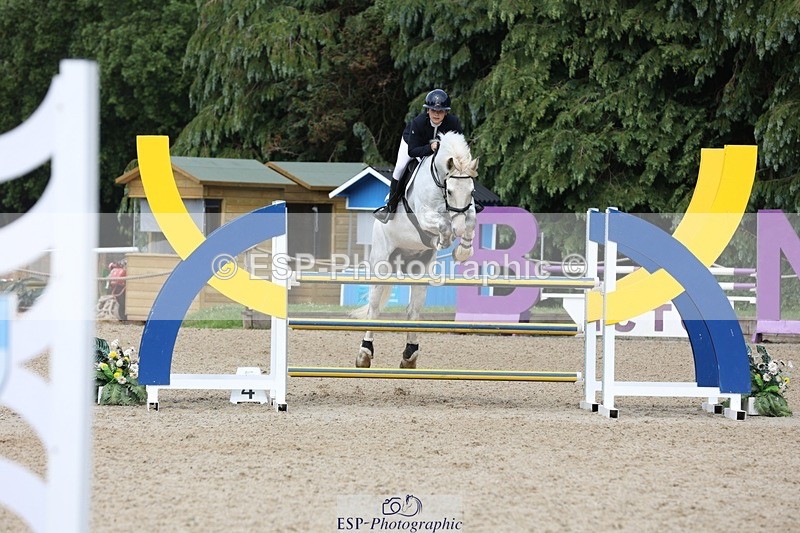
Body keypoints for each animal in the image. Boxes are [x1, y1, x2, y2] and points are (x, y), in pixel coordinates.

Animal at [353, 131, 479, 368]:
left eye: (471, 190)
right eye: (450, 190)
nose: (457, 229)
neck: (438, 181)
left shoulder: (467, 210)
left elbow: (470, 220)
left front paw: (462, 250)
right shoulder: (424, 215)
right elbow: (442, 224)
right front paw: (444, 240)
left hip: (420, 269)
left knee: (413, 311)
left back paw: (410, 355)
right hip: (381, 264)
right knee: (374, 308)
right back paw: (364, 353)